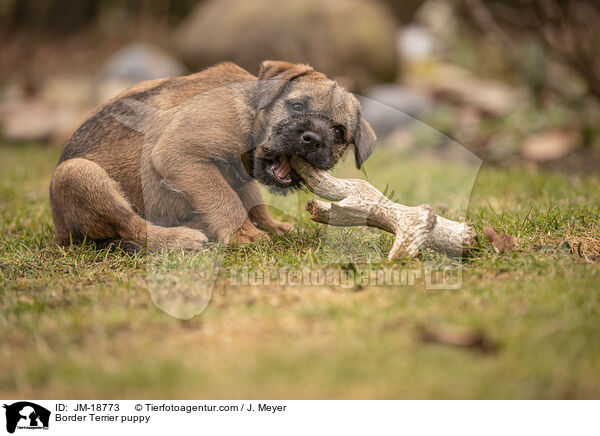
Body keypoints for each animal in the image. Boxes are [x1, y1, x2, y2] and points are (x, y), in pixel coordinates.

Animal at [49, 61, 376, 252]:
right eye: (297, 106)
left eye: (339, 132)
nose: (313, 140)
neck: (251, 112)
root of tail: (59, 230)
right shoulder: (179, 154)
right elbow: (224, 198)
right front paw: (245, 235)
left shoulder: (242, 176)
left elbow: (251, 201)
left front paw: (273, 226)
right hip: (78, 172)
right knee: (131, 226)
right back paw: (180, 238)